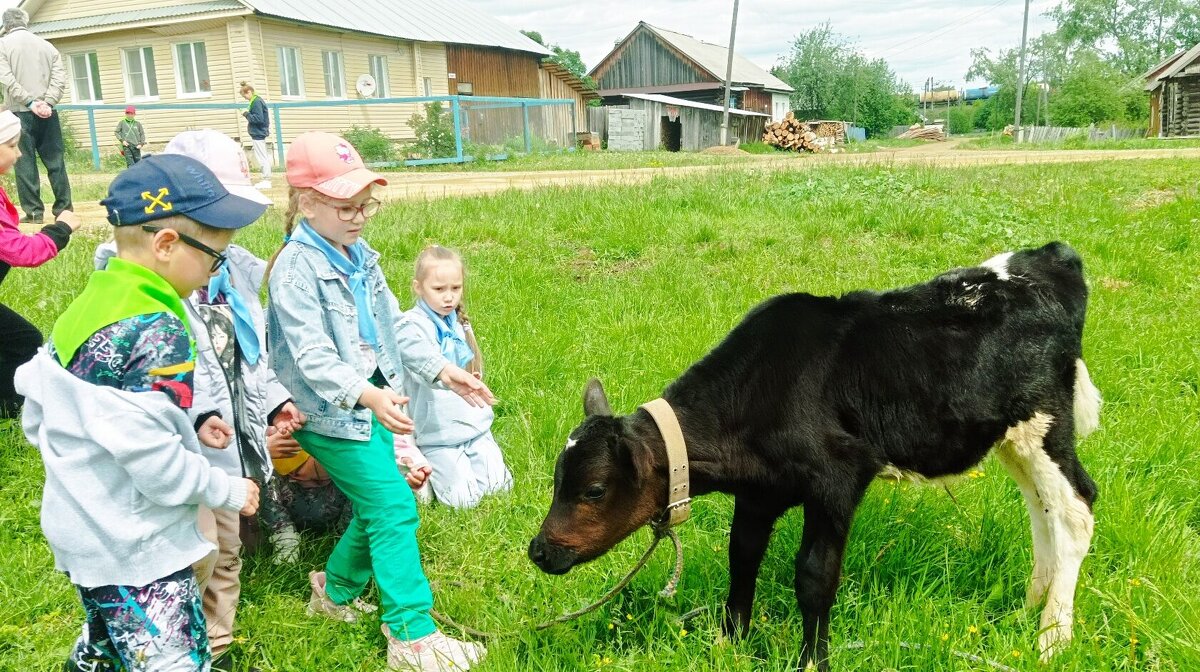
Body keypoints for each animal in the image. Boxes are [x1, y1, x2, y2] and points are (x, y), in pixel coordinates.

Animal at [530, 242, 1099, 672]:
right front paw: (729, 642)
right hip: (1010, 437)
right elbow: (743, 556)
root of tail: (1051, 258)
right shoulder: (758, 493)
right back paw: (1028, 609)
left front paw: (810, 662)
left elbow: (814, 578)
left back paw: (1052, 638)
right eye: (558, 480)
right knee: (1042, 510)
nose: (538, 551)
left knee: (1075, 509)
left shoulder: (838, 478)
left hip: (1045, 420)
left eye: (593, 489)